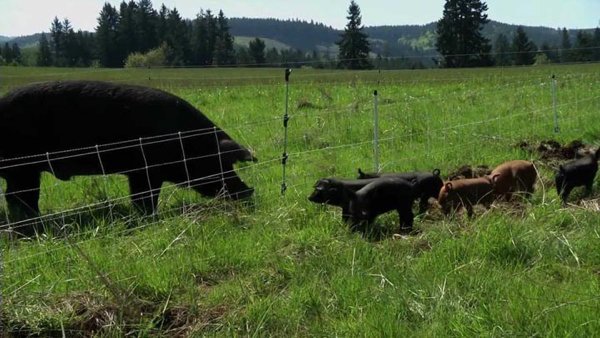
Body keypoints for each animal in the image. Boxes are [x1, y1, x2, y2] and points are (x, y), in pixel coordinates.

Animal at [0, 80, 255, 234]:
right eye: (221, 162)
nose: (249, 191)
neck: (187, 143)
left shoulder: (138, 173)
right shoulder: (146, 172)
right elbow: (144, 198)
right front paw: (151, 218)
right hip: (22, 168)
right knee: (18, 196)